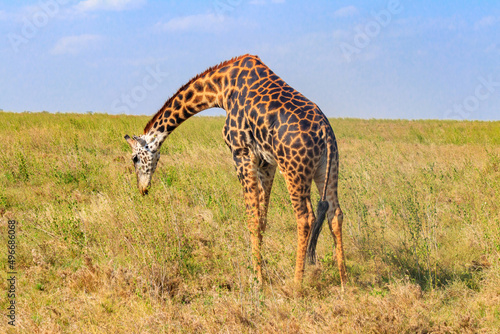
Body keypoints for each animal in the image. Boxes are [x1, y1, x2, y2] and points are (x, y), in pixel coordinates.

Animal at [124, 54, 348, 288]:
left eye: (135, 158)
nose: (143, 189)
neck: (220, 88)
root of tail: (325, 130)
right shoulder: (267, 162)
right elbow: (262, 218)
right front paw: (261, 270)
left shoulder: (242, 153)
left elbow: (252, 218)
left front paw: (257, 279)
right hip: (328, 167)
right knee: (335, 214)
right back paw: (344, 282)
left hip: (294, 170)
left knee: (305, 218)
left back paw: (296, 284)